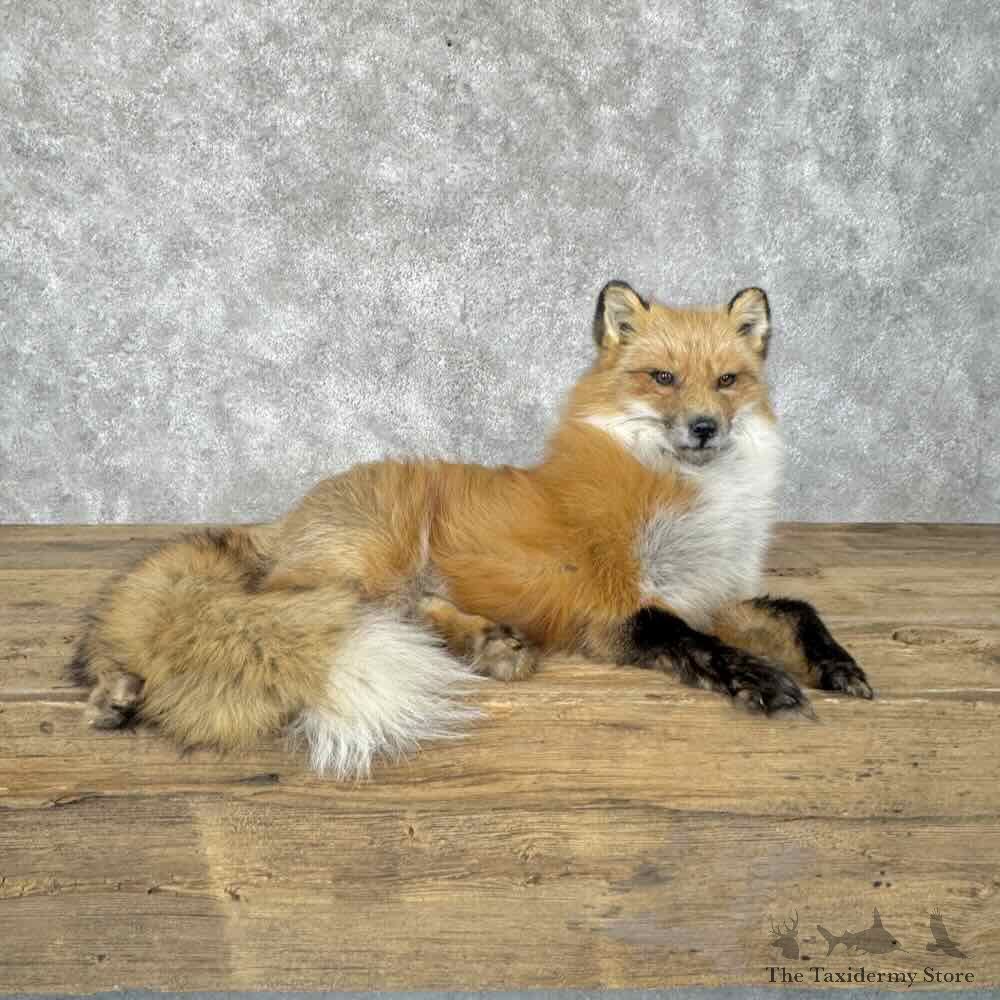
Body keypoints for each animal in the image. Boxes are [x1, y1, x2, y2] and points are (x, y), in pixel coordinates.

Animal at [69, 281, 873, 778]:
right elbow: (698, 645)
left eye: (728, 382)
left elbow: (797, 609)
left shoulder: (716, 590)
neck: (690, 501)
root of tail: (293, 512)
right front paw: (760, 681)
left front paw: (837, 665)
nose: (705, 428)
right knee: (283, 613)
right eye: (663, 378)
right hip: (370, 563)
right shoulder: (615, 610)